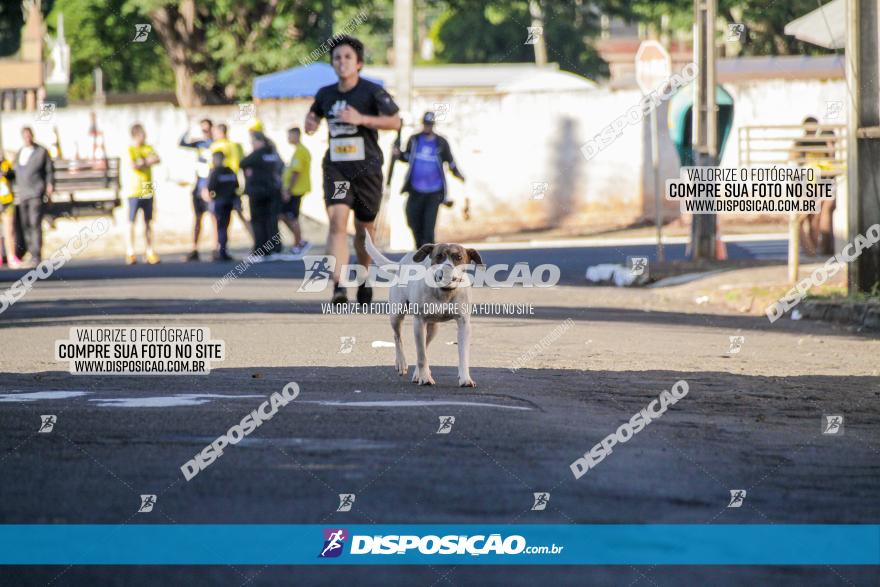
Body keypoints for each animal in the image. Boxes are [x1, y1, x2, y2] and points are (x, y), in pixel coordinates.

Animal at [362, 232, 482, 388]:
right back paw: (402, 363)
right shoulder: (419, 322)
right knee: (398, 337)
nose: (447, 268)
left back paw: (417, 373)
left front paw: (465, 378)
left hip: (433, 328)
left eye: (459, 257)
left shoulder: (464, 324)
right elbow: (421, 355)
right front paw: (424, 378)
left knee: (425, 344)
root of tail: (402, 261)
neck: (444, 292)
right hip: (397, 314)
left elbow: (463, 355)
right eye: (439, 256)